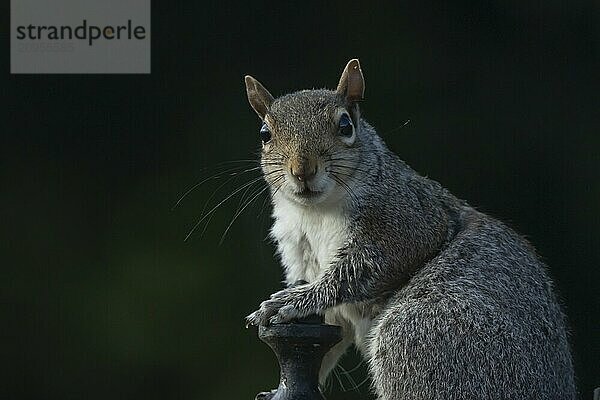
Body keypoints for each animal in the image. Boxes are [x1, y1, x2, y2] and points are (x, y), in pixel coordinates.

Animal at [243, 59, 576, 400]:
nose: (303, 170)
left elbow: (359, 271)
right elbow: (329, 330)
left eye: (345, 126)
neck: (316, 212)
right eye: (265, 134)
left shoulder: (407, 220)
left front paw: (291, 300)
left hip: (419, 334)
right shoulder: (303, 256)